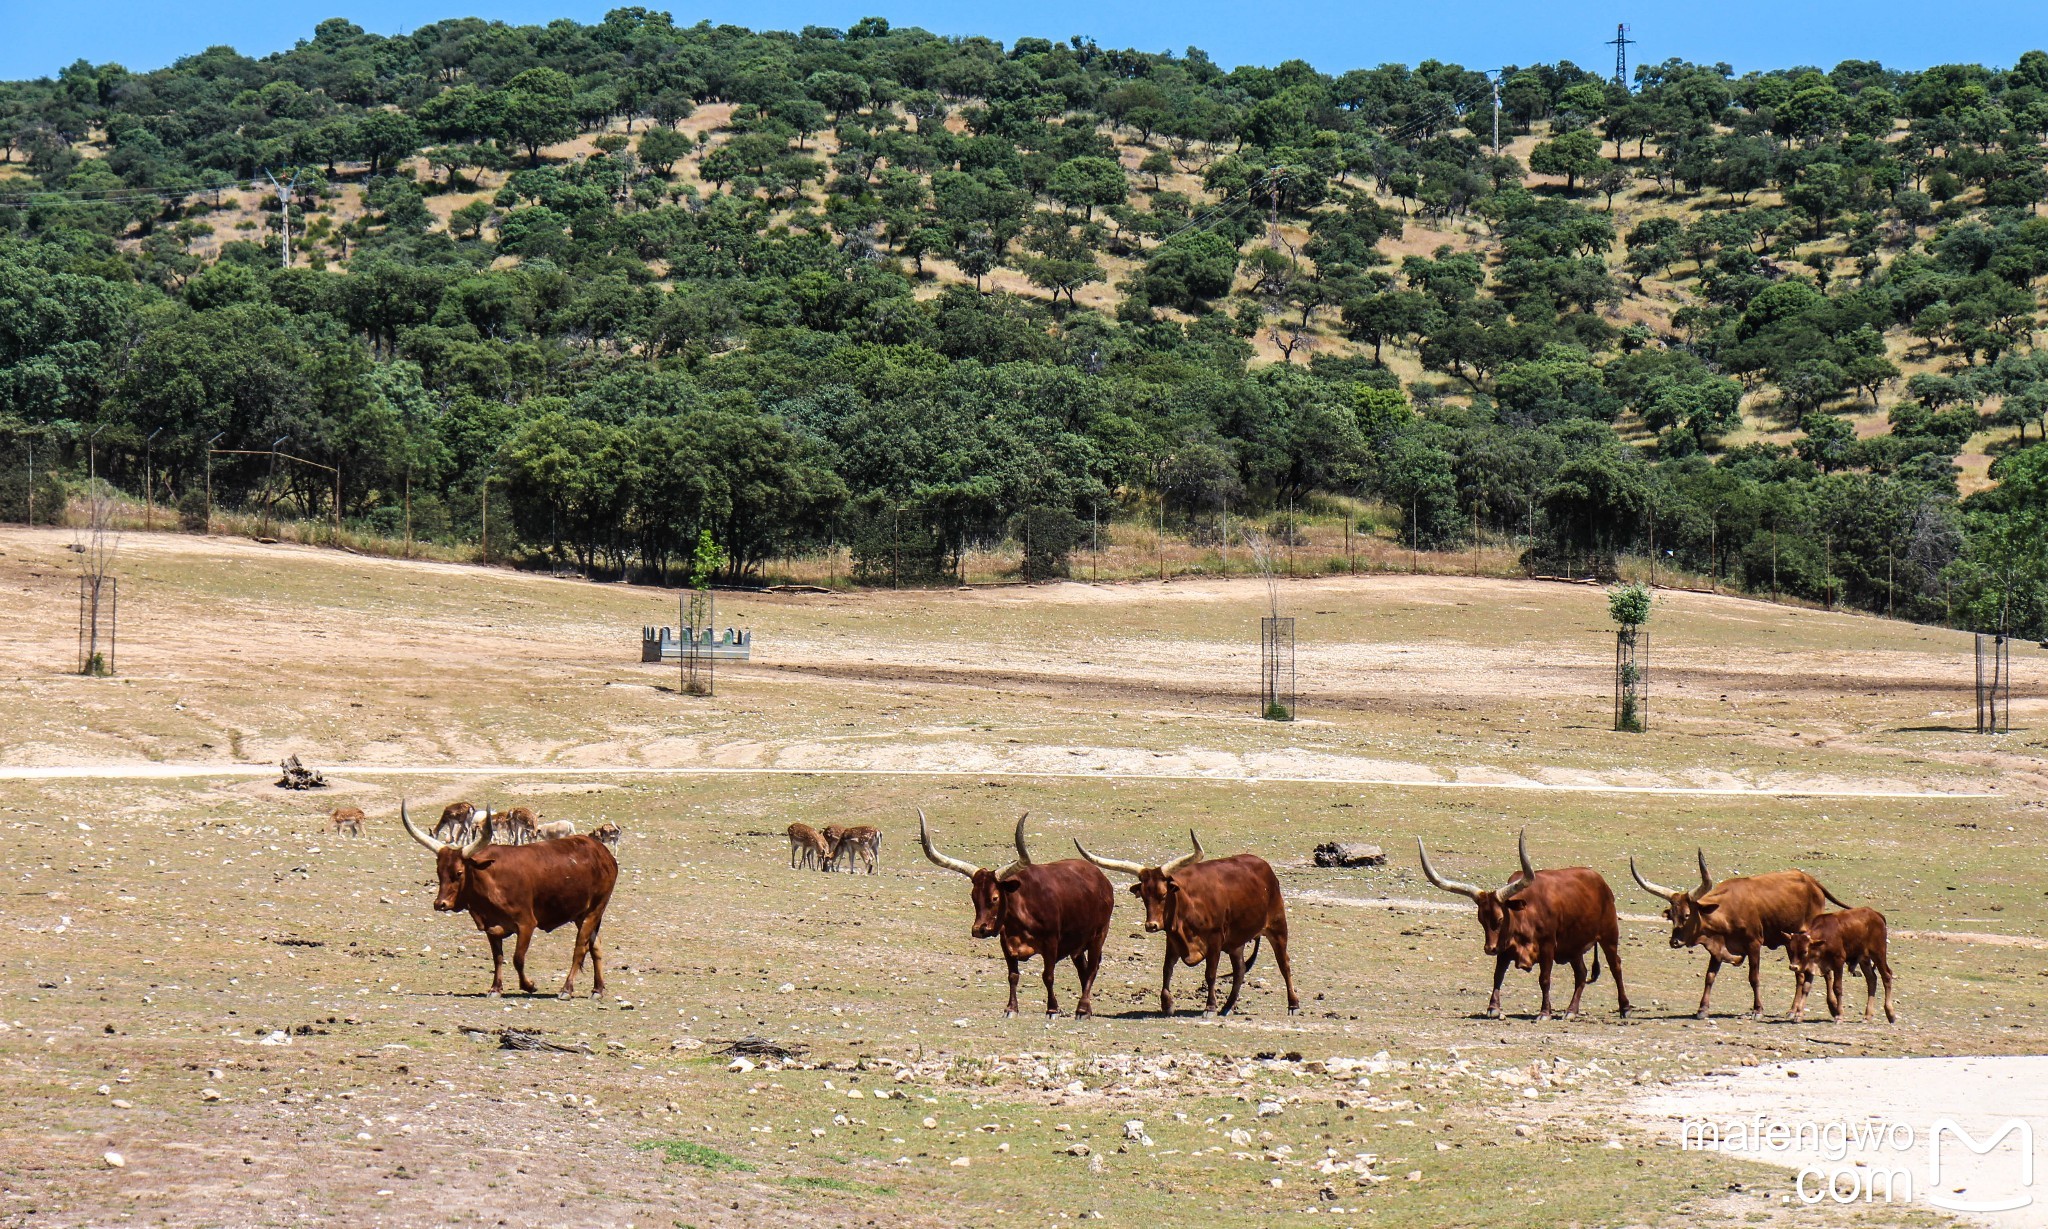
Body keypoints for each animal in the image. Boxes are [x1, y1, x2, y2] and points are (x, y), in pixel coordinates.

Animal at [401, 798, 614, 999]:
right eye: (439, 872)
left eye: (459, 873)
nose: (440, 904)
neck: (487, 877)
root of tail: (603, 853)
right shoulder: (491, 926)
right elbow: (498, 958)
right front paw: (496, 988)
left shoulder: (526, 924)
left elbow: (517, 958)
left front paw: (529, 985)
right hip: (581, 915)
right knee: (596, 947)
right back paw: (598, 989)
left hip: (594, 911)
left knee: (580, 949)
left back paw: (567, 989)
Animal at [921, 807, 1114, 1015]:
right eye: (973, 896)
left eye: (995, 897)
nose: (979, 929)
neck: (1021, 914)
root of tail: (1102, 879)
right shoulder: (1006, 944)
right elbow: (1013, 975)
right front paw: (1011, 1008)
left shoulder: (1051, 943)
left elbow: (1048, 976)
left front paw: (1052, 1009)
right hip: (1077, 944)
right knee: (1083, 970)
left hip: (1099, 935)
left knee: (1092, 969)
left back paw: (1083, 1009)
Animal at [1073, 835, 1294, 1015]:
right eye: (1143, 896)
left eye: (1163, 894)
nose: (1151, 925)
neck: (1188, 903)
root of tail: (1263, 865)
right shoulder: (1173, 940)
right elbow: (1167, 969)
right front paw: (1167, 1004)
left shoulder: (1215, 941)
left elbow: (1210, 974)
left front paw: (1210, 1007)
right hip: (1235, 942)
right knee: (1239, 970)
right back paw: (1227, 1007)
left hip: (1277, 927)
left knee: (1284, 964)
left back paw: (1293, 1004)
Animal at [1417, 831, 1622, 1024]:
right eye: (1481, 919)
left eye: (1500, 918)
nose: (1489, 949)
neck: (1526, 913)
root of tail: (1601, 883)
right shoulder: (1504, 948)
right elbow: (1498, 975)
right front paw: (1493, 1008)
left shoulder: (1547, 946)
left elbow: (1544, 979)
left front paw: (1544, 1013)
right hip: (1573, 947)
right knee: (1581, 974)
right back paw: (1571, 1011)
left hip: (1609, 936)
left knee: (1616, 966)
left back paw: (1624, 1008)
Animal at [1638, 848, 1851, 1024]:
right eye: (1672, 915)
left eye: (1687, 914)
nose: (1674, 941)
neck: (1725, 910)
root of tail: (1811, 881)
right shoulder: (1718, 947)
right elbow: (1709, 977)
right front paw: (1702, 1009)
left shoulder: (1754, 944)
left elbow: (1753, 977)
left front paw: (1757, 1010)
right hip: (1791, 942)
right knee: (1800, 975)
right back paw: (1793, 1011)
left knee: (1821, 972)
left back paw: (1829, 1008)